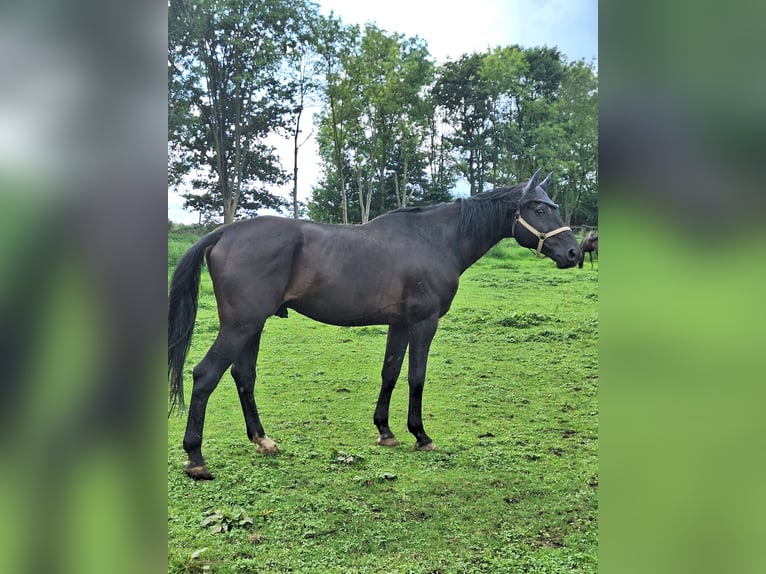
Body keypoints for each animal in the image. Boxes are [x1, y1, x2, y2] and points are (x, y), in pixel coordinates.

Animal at [170, 170, 584, 482]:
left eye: (553, 206)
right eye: (538, 208)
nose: (573, 253)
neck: (435, 239)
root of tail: (224, 233)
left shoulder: (399, 324)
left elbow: (390, 373)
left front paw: (385, 431)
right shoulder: (423, 323)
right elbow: (416, 376)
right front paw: (420, 434)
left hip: (252, 327)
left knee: (244, 376)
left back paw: (262, 440)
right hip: (241, 326)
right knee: (205, 375)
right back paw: (196, 458)